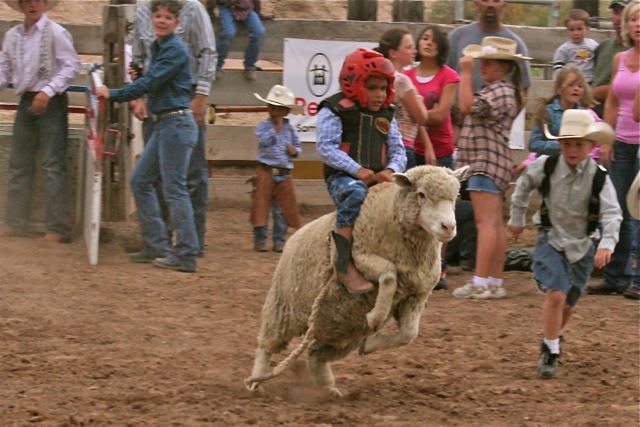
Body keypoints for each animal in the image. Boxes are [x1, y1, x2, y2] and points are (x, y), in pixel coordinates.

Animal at [248, 166, 468, 398]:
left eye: (455, 197)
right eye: (421, 194)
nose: (448, 227)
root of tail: (293, 237)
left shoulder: (416, 294)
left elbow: (408, 334)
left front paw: (371, 344)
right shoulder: (362, 257)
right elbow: (389, 275)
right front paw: (375, 317)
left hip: (341, 330)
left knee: (316, 355)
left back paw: (328, 389)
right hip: (283, 308)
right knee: (267, 346)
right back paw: (256, 382)